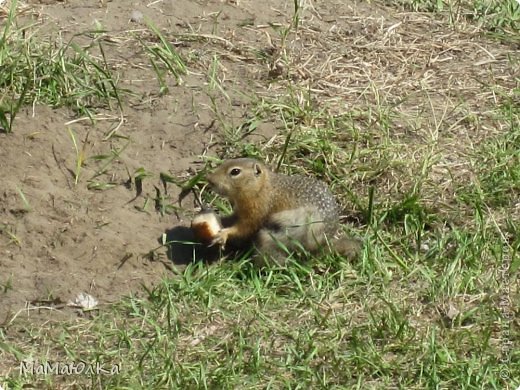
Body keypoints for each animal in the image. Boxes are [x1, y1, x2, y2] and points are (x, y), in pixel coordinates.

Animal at [203, 158, 362, 266]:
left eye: (235, 171)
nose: (209, 179)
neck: (262, 187)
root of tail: (324, 244)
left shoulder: (257, 209)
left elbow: (245, 227)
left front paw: (224, 234)